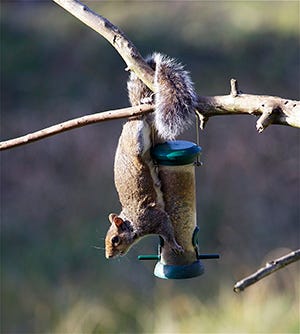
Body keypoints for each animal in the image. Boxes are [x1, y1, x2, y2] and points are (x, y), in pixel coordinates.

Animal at [104, 52, 198, 258]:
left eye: (115, 239)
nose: (108, 256)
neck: (132, 222)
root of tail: (132, 116)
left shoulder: (154, 217)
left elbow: (167, 231)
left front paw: (175, 246)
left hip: (136, 139)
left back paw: (147, 103)